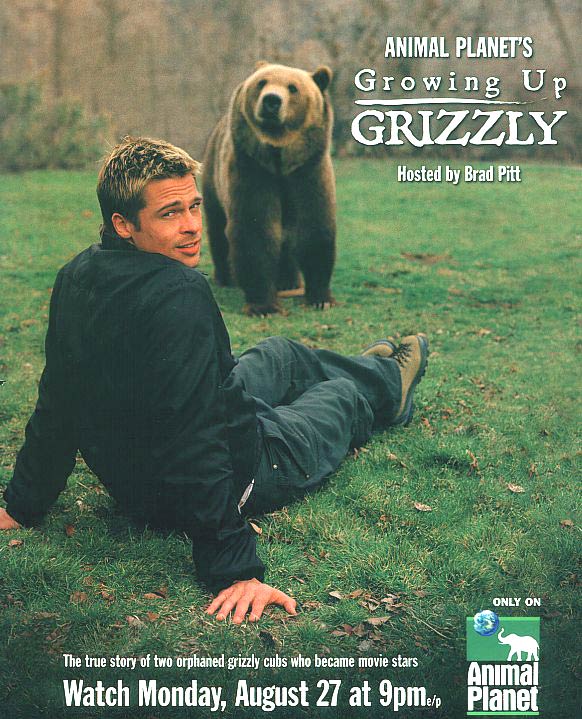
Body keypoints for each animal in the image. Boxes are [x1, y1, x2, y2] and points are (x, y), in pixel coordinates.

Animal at [202, 61, 336, 316]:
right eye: (262, 82)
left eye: (293, 87)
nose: (271, 100)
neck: (279, 160)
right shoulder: (253, 171)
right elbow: (255, 229)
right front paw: (263, 305)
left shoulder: (308, 172)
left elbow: (314, 226)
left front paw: (320, 297)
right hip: (213, 174)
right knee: (217, 228)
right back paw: (226, 276)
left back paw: (288, 281)